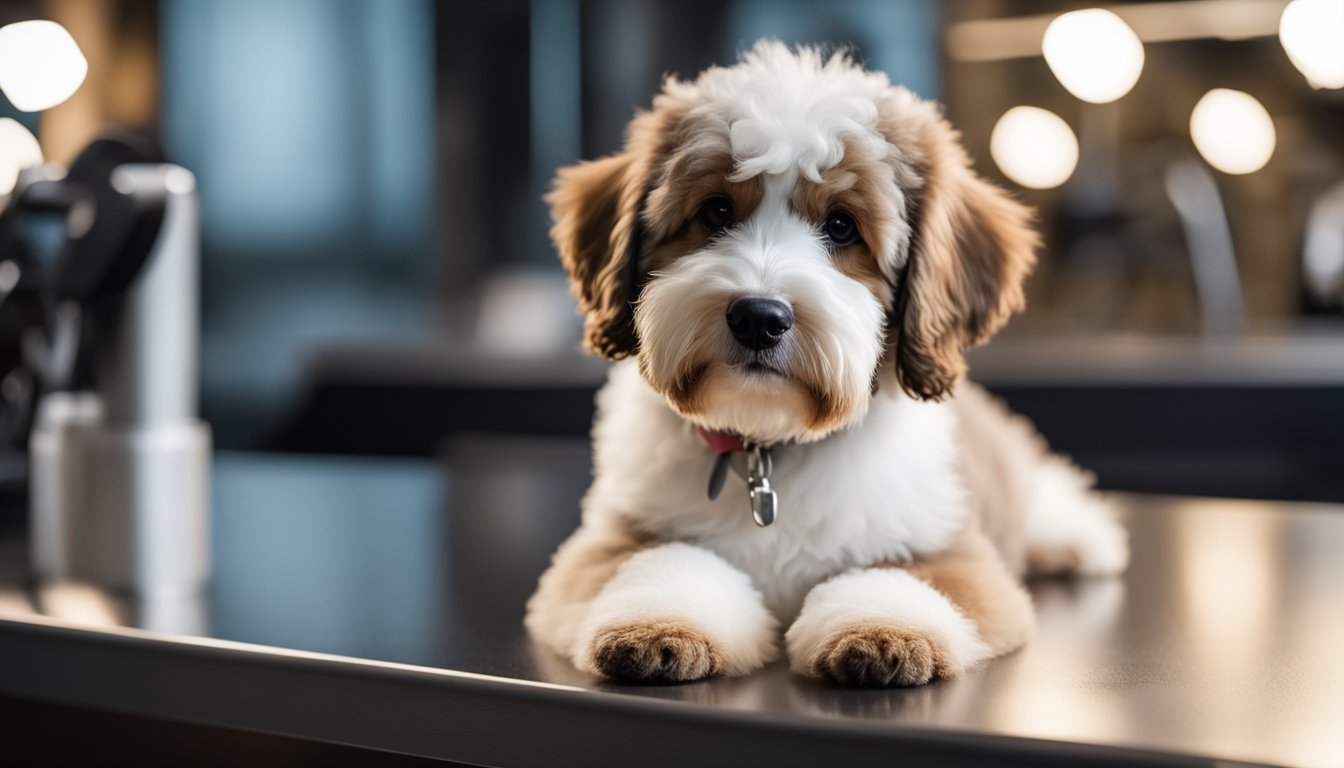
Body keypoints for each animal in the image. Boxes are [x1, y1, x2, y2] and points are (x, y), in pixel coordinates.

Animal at [524, 42, 1123, 688]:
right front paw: (660, 623)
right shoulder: (609, 540)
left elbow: (903, 580)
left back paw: (1076, 542)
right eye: (716, 211)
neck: (769, 446)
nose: (758, 317)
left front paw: (884, 631)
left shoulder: (955, 553)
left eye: (840, 225)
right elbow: (660, 562)